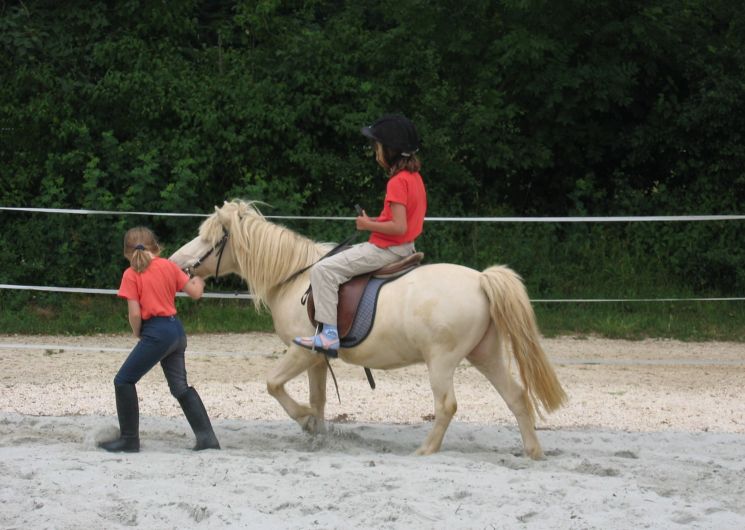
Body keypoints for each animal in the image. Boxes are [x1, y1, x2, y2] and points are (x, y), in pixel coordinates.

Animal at [169, 200, 567, 458]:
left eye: (208, 239)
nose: (176, 262)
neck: (295, 277)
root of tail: (481, 280)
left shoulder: (301, 351)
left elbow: (273, 385)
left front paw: (305, 421)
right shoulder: (316, 358)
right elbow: (318, 398)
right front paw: (317, 432)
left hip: (442, 361)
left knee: (447, 405)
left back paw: (426, 450)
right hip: (485, 354)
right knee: (516, 396)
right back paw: (533, 452)